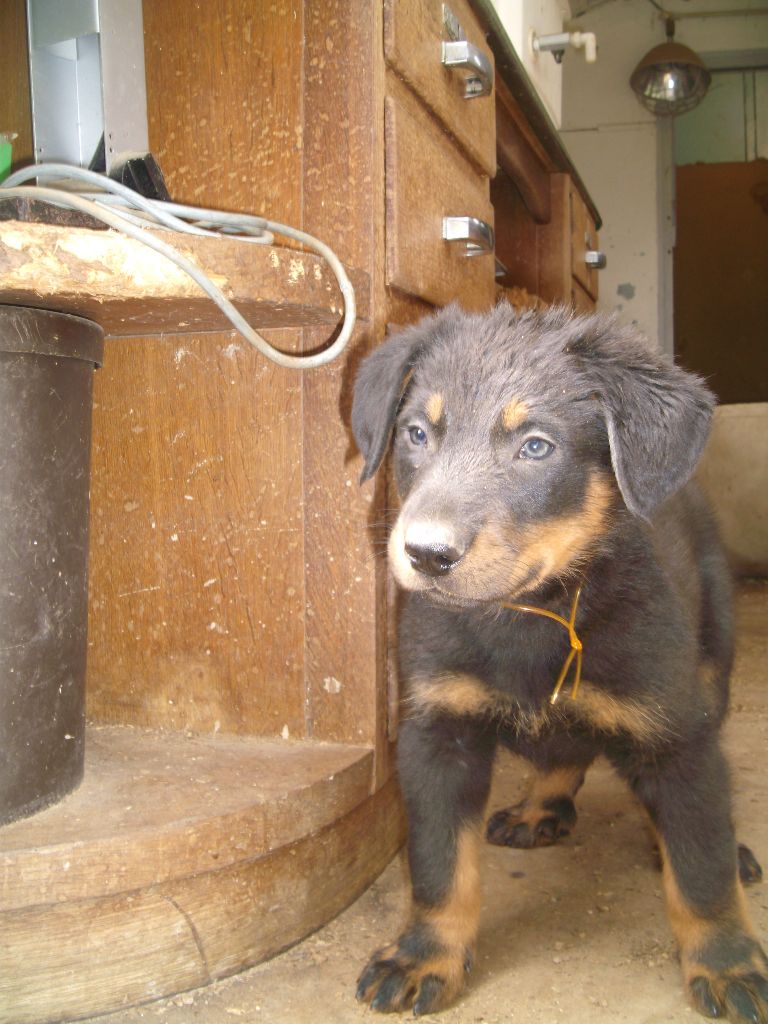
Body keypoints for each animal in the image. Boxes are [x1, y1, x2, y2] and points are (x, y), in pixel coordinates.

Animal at [352, 303, 765, 1024]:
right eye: (416, 434)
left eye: (536, 446)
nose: (426, 553)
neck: (533, 614)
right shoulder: (437, 731)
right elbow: (439, 864)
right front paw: (422, 954)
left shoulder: (675, 737)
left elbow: (702, 869)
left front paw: (726, 961)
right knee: (564, 750)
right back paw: (540, 807)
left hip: (712, 663)